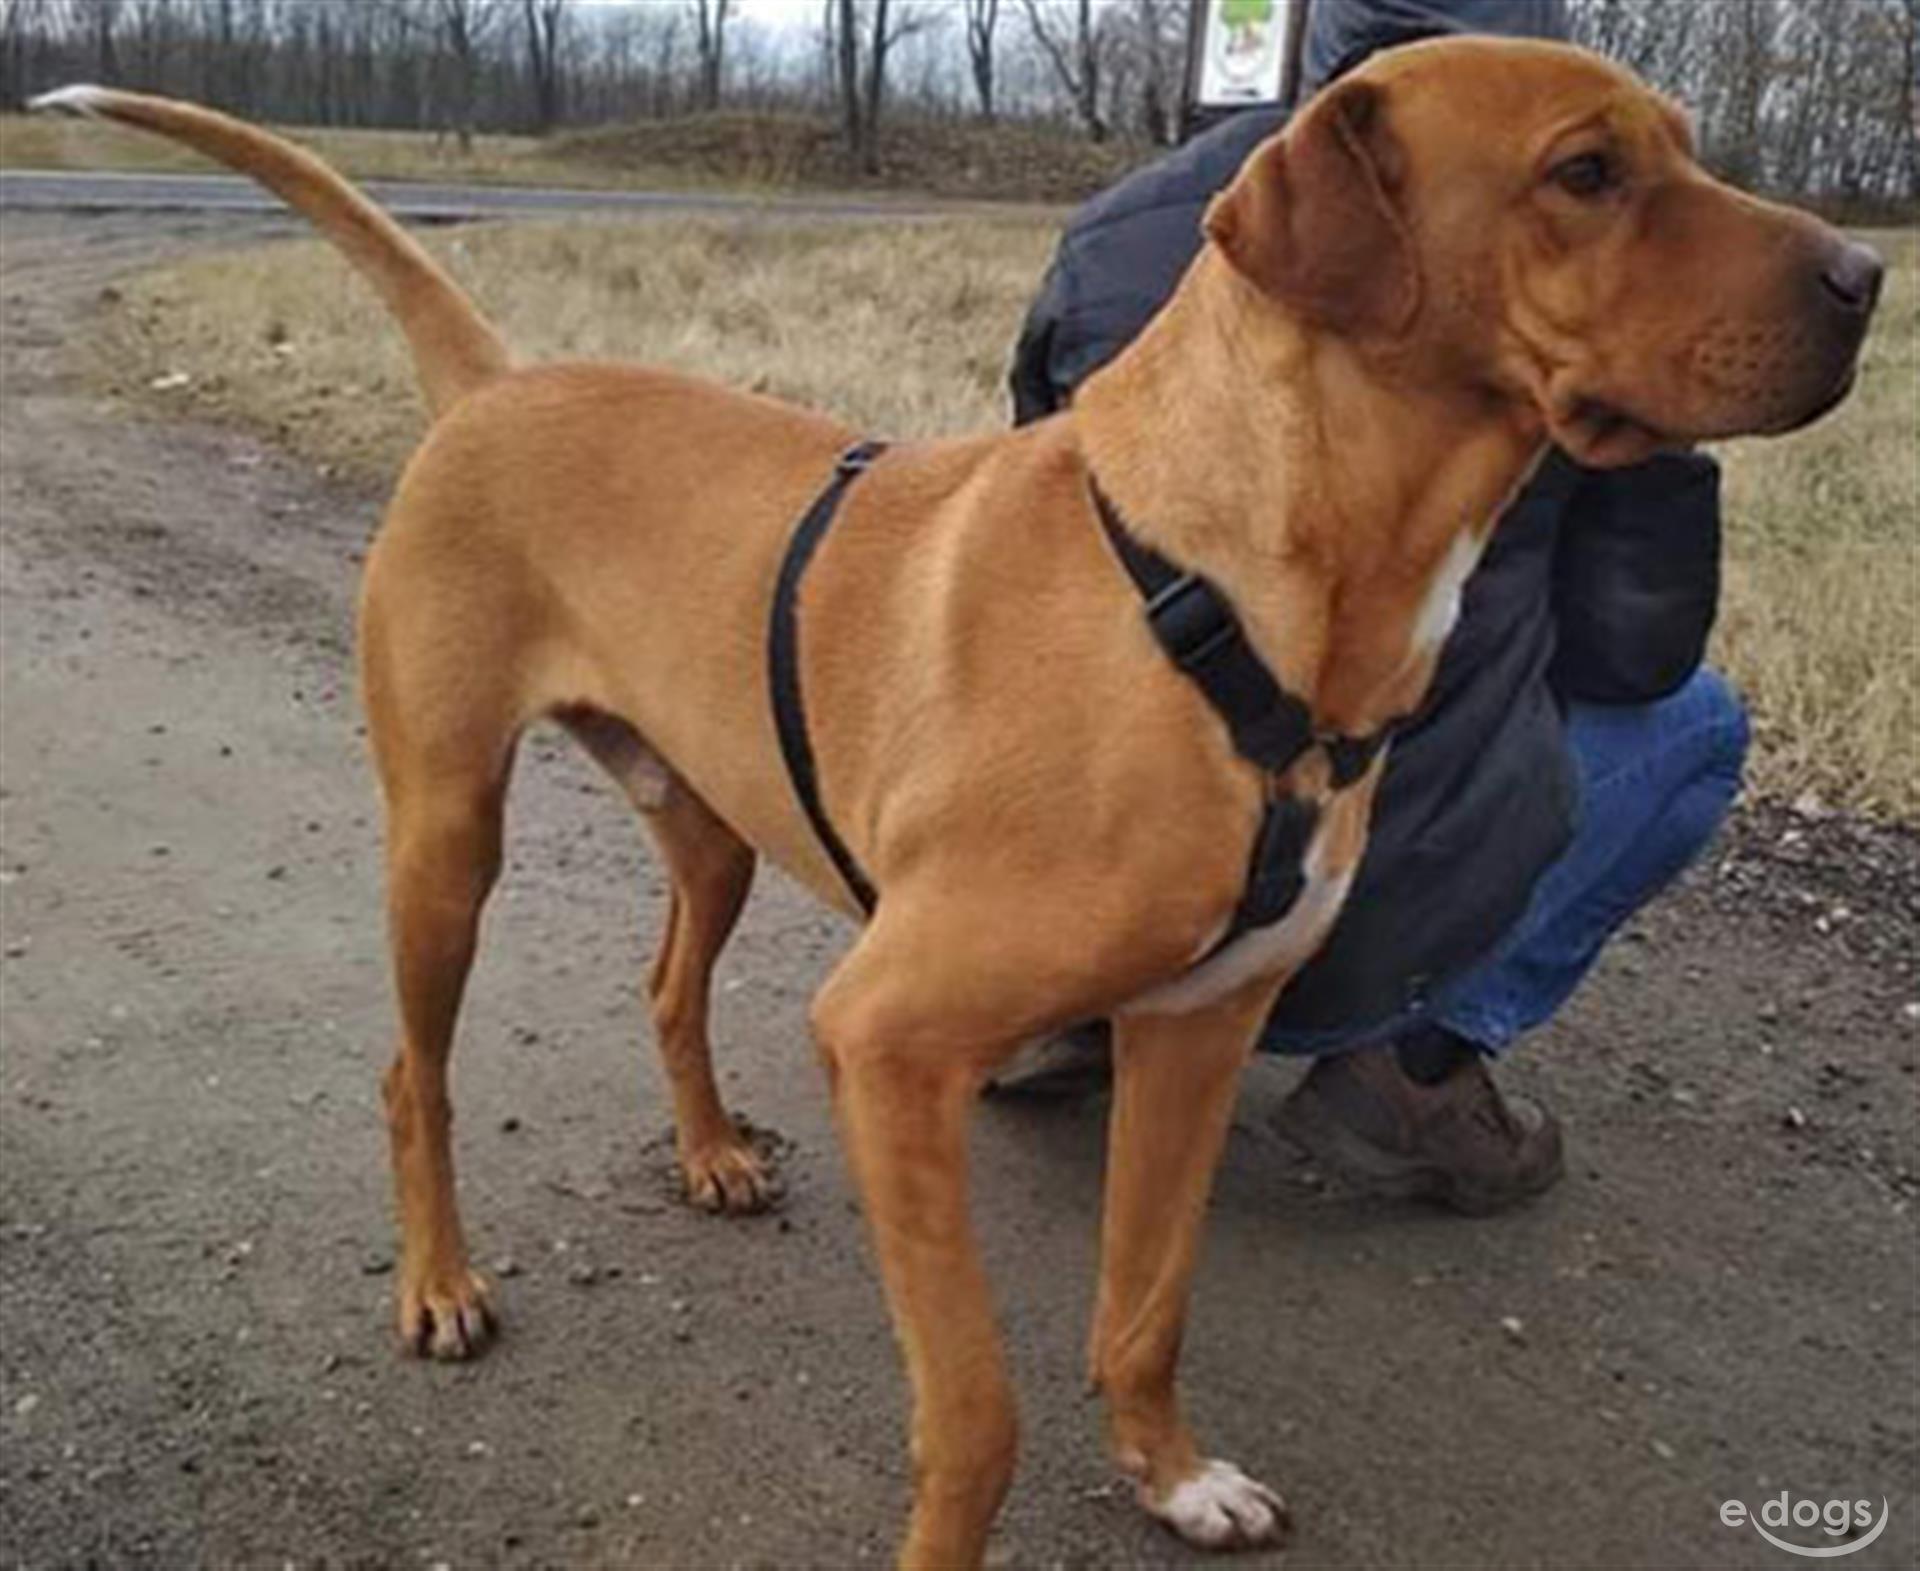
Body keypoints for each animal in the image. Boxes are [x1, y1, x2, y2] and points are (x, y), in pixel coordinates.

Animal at [37, 33, 1881, 1551]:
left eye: (1686, 147)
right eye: (1586, 173)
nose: (1869, 274)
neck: (1220, 599)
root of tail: (500, 381)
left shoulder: (1195, 1029)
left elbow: (1147, 1305)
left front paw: (1173, 1475)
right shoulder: (893, 1042)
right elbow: (978, 1414)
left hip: (711, 826)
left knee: (668, 981)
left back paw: (707, 1152)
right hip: (446, 834)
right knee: (409, 1074)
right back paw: (437, 1280)